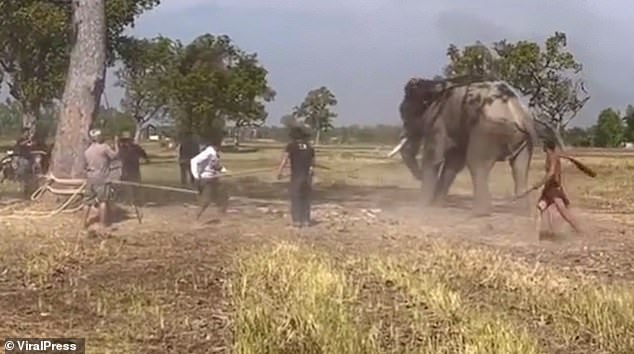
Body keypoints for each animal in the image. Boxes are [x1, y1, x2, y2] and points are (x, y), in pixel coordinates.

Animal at [388, 77, 560, 216]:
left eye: (403, 112)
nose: (417, 176)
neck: (431, 85)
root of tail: (519, 113)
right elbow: (453, 164)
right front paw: (435, 206)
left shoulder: (438, 122)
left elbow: (434, 159)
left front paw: (422, 208)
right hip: (521, 138)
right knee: (520, 168)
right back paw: (521, 213)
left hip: (487, 130)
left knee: (477, 164)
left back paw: (480, 213)